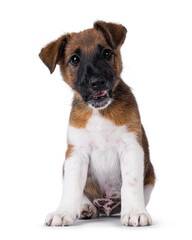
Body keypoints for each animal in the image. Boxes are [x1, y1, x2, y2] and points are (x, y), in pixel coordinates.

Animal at [39, 20, 155, 227]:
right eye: (74, 59)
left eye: (107, 53)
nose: (97, 82)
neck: (99, 112)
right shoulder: (76, 154)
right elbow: (72, 187)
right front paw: (64, 212)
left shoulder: (131, 147)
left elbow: (131, 183)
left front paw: (135, 212)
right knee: (85, 197)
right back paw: (86, 208)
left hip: (151, 175)